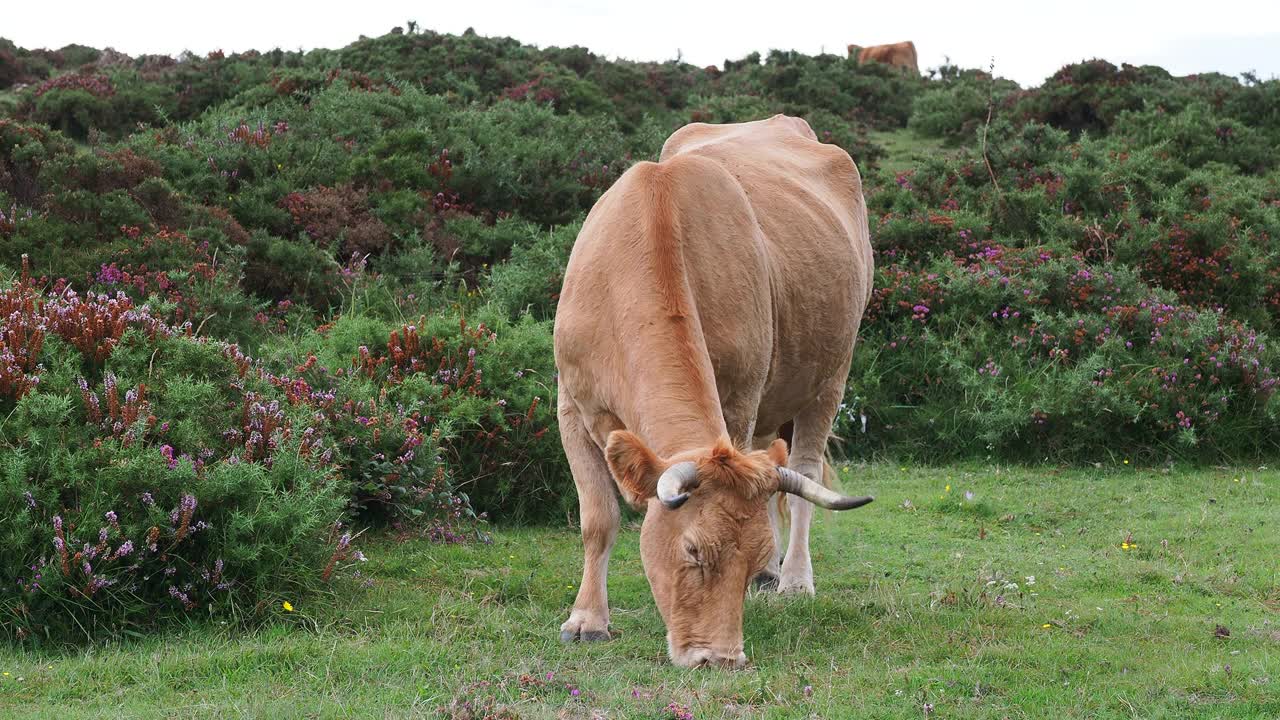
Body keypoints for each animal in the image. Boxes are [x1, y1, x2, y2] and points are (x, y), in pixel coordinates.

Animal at [555, 113, 875, 666]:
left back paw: (793, 578)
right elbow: (597, 518)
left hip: (831, 375)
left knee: (804, 468)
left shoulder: (739, 399)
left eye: (748, 557)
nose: (719, 658)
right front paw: (587, 620)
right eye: (692, 550)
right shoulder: (571, 406)